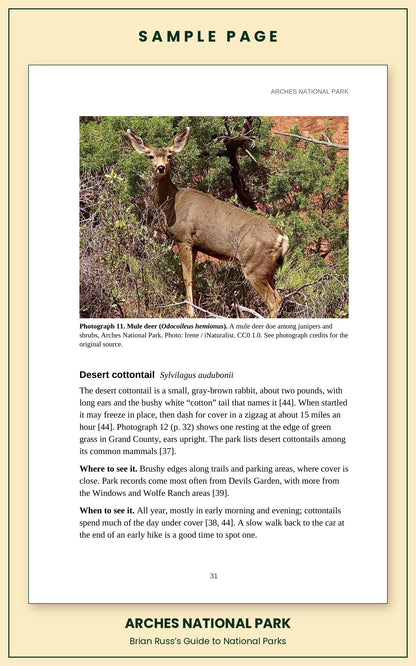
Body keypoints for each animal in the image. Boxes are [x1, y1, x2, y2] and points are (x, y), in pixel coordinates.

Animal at [127, 126, 289, 317]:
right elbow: (192, 276)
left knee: (273, 301)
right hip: (267, 269)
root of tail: (282, 238)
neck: (172, 203)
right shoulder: (195, 245)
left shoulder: (183, 238)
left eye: (169, 156)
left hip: (254, 266)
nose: (161, 167)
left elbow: (186, 277)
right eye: (150, 156)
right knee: (278, 297)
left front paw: (190, 312)